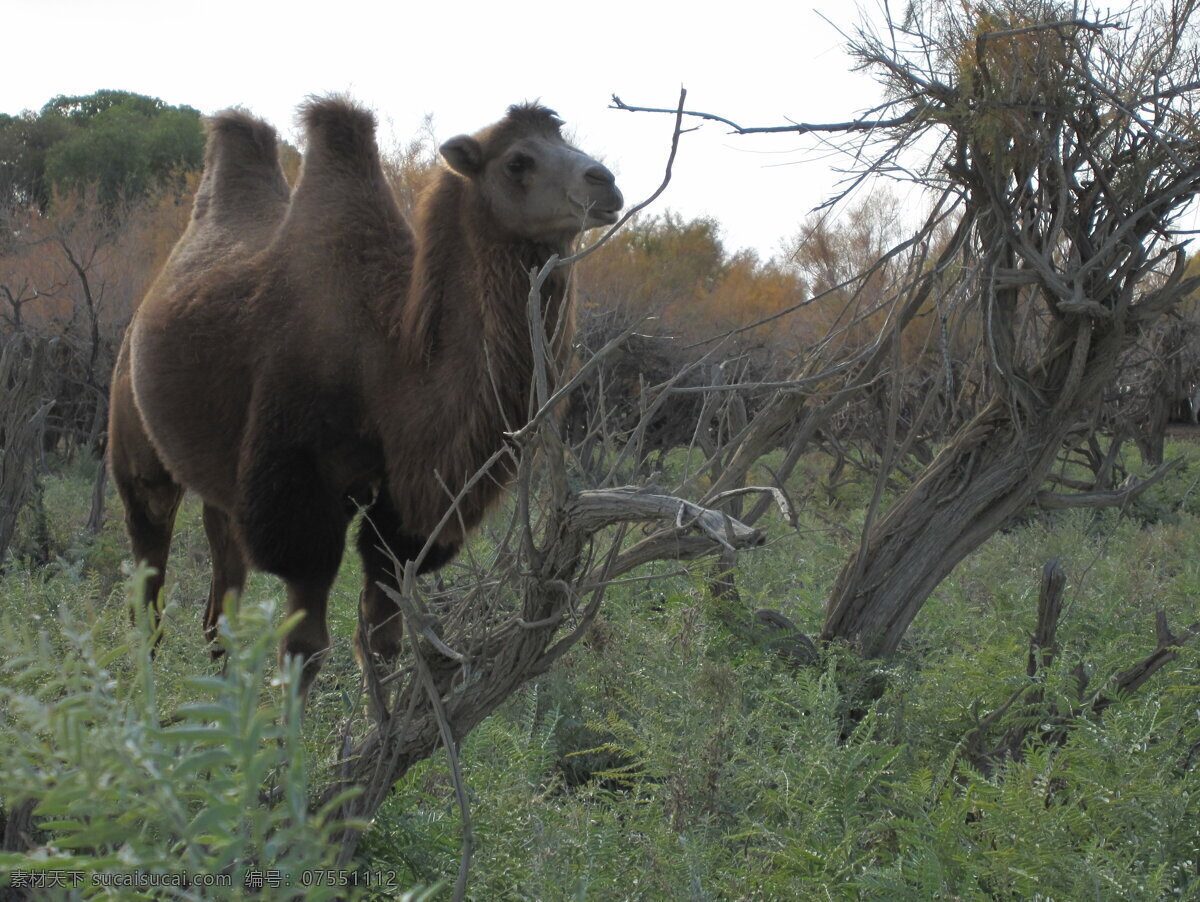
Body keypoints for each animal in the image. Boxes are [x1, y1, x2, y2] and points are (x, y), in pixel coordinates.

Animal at [110, 97, 628, 690]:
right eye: (517, 161)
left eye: (566, 142)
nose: (606, 183)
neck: (387, 363)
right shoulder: (300, 498)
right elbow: (305, 648)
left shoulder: (402, 512)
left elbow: (382, 643)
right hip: (137, 446)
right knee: (149, 576)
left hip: (220, 478)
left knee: (221, 599)